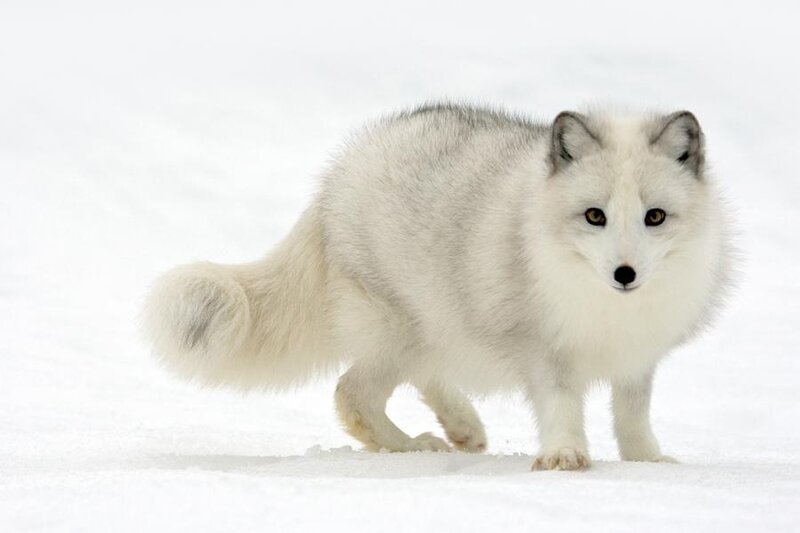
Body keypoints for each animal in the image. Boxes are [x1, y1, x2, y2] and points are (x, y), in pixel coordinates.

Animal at [142, 103, 733, 470]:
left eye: (655, 216)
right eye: (595, 215)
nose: (624, 274)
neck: (606, 307)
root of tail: (337, 174)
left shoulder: (637, 356)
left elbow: (633, 415)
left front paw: (647, 462)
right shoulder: (544, 350)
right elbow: (563, 406)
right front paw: (565, 457)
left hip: (435, 328)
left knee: (421, 378)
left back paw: (463, 428)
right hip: (400, 330)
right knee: (351, 395)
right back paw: (412, 448)